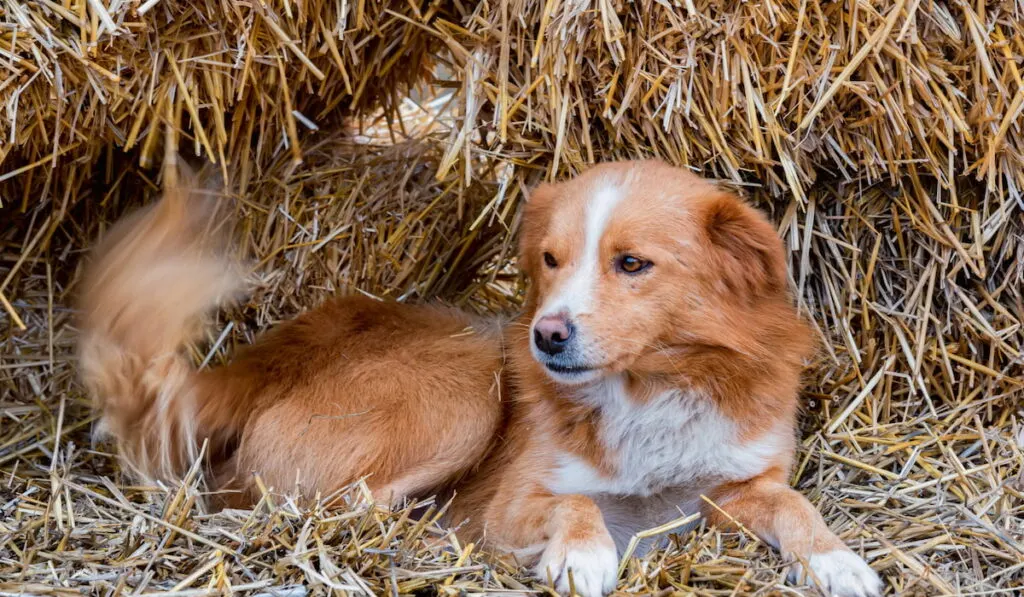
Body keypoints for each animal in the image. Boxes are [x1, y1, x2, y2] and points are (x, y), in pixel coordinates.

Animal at [79, 160, 880, 597]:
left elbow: (798, 508)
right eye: (551, 259)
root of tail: (264, 359)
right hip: (465, 386)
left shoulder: (738, 485)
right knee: (332, 509)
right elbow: (575, 503)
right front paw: (582, 555)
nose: (546, 335)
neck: (649, 384)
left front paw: (840, 562)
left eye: (632, 263)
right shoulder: (515, 501)